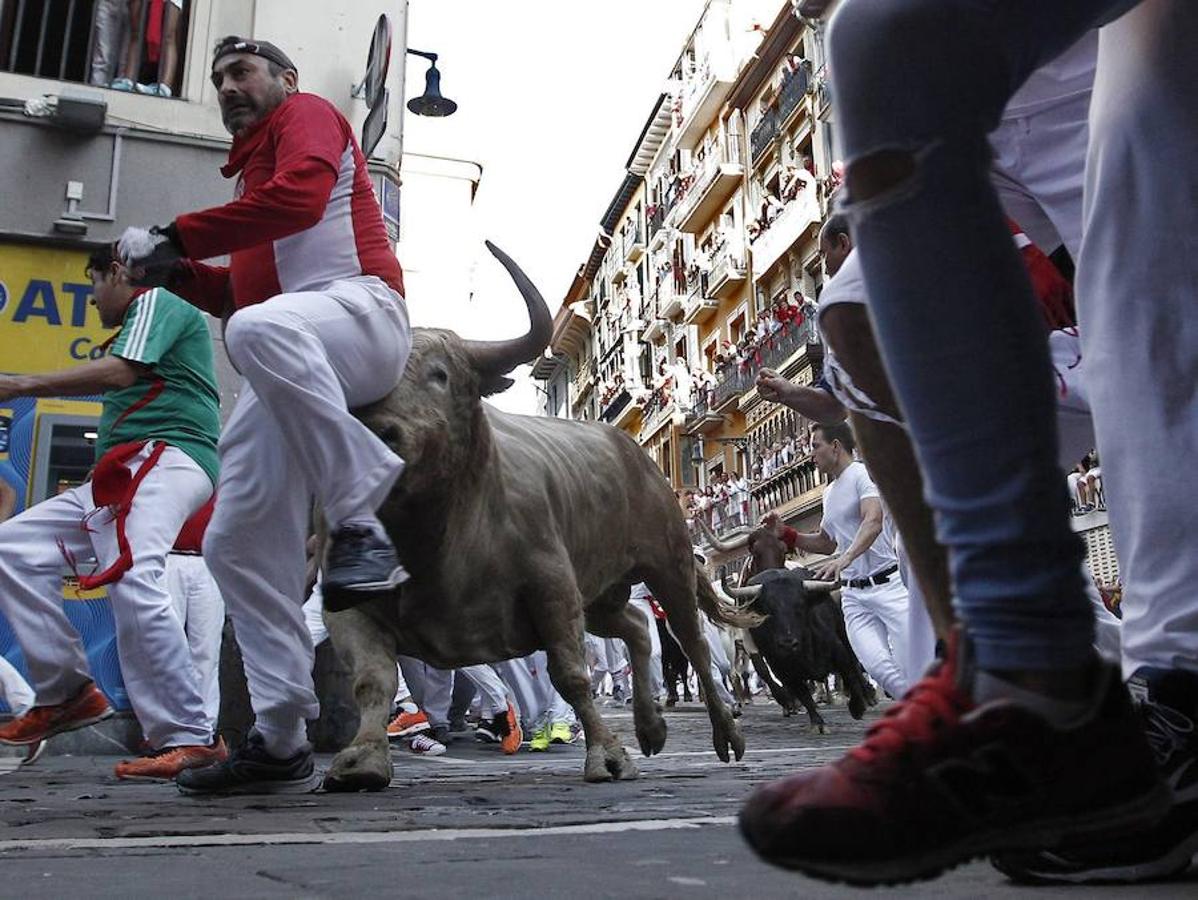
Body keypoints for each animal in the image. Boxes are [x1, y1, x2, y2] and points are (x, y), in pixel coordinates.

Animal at [323, 243, 757, 790]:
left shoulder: (552, 587)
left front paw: (607, 756)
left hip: (668, 563)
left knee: (692, 641)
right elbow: (372, 680)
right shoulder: (348, 607)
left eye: (439, 374)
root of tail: (631, 451)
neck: (437, 540)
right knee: (637, 626)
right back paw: (650, 728)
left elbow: (570, 675)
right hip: (601, 594)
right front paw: (362, 759)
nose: (377, 432)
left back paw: (725, 732)